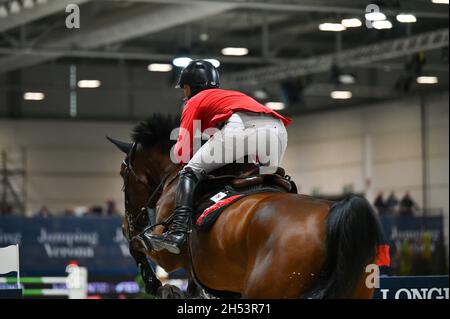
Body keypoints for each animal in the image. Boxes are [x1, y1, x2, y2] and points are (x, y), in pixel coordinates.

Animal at [108, 115, 384, 300]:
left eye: (123, 174)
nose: (124, 226)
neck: (173, 172)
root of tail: (337, 217)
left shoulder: (166, 253)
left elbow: (137, 245)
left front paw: (158, 286)